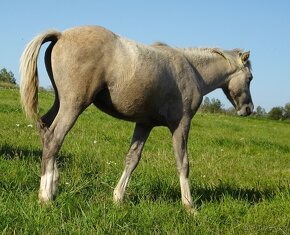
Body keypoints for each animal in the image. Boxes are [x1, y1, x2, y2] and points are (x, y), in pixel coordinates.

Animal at [19, 25, 253, 209]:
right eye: (250, 78)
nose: (248, 109)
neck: (192, 70)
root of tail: (61, 35)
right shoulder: (181, 124)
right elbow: (183, 162)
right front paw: (189, 206)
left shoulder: (144, 124)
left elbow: (132, 159)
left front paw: (118, 198)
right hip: (73, 106)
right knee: (54, 139)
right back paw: (46, 195)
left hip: (61, 102)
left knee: (44, 129)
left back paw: (53, 185)